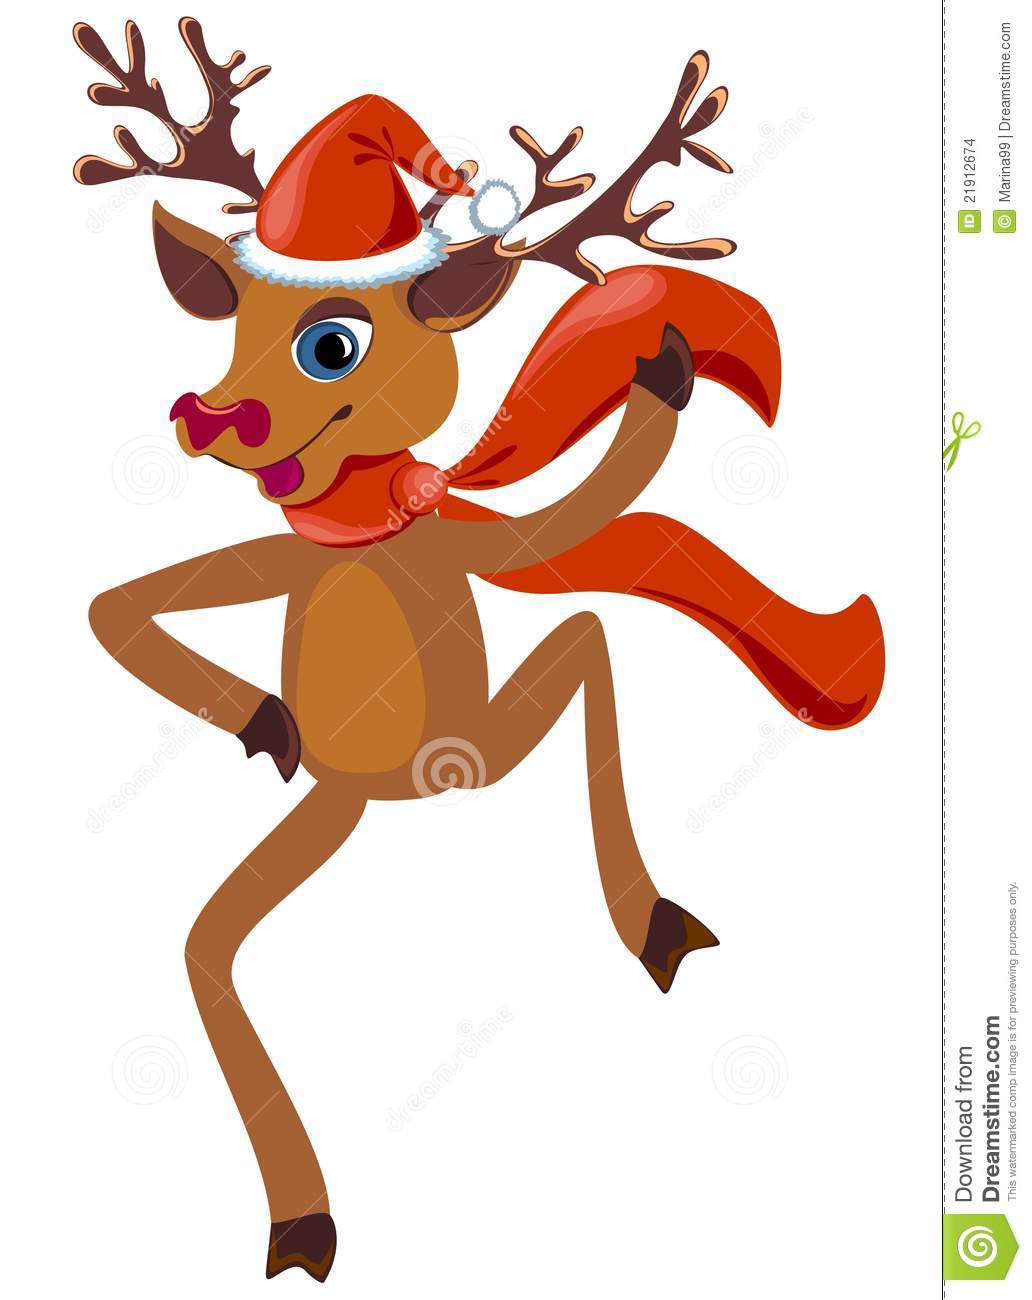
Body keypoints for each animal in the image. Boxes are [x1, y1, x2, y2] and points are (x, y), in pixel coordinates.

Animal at [75, 16, 884, 1283]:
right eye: (229, 327)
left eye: (332, 343)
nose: (208, 416)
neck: (371, 525)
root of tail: (410, 793)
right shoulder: (281, 561)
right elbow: (119, 611)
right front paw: (268, 722)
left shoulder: (449, 533)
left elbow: (572, 530)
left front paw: (664, 368)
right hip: (341, 807)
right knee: (211, 952)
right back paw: (302, 1217)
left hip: (480, 744)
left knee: (590, 648)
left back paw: (652, 924)